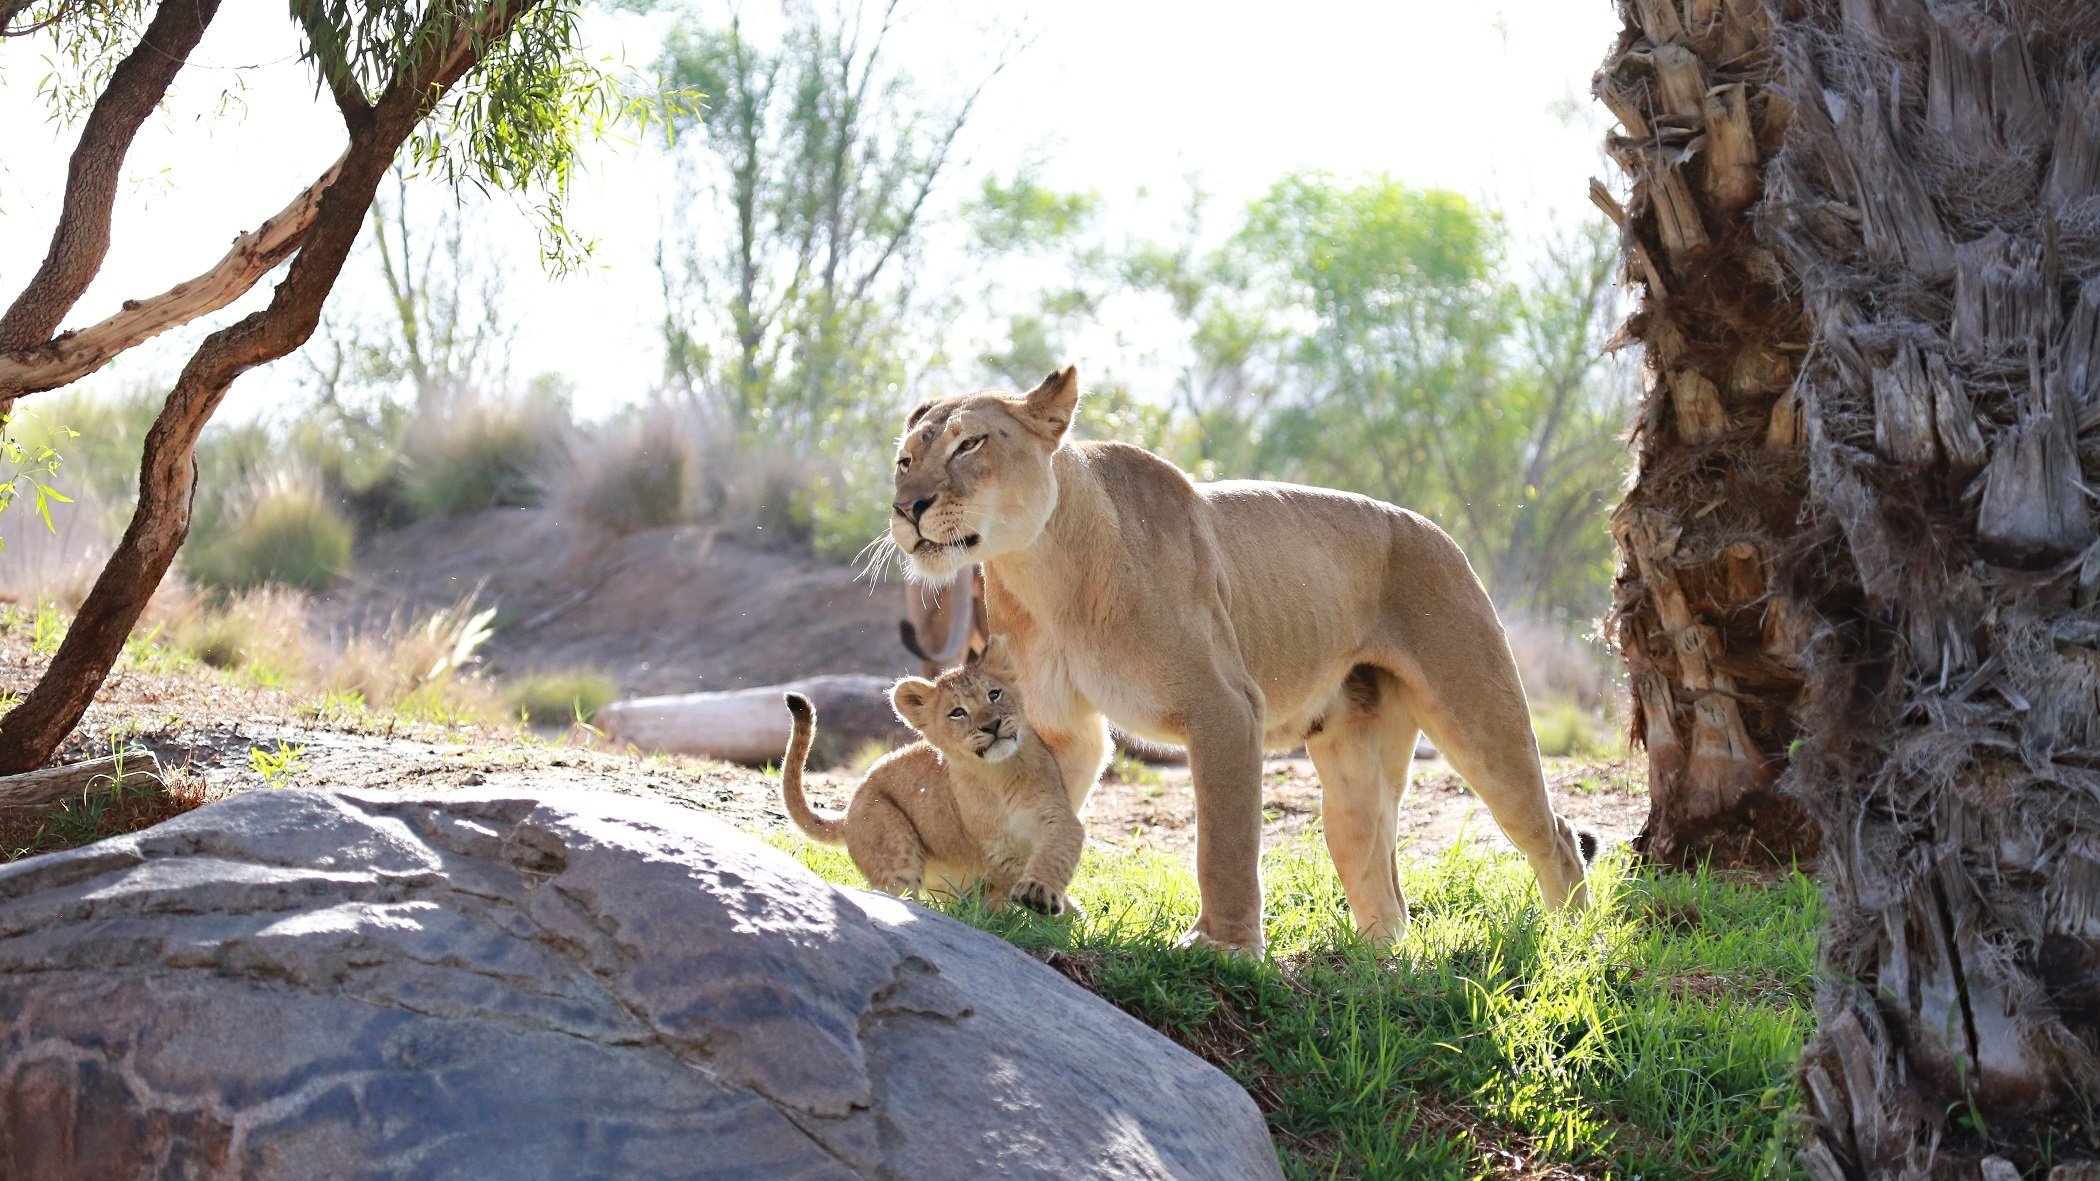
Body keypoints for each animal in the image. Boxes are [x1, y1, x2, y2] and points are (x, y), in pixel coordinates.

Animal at [777, 636, 1084, 914]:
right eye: (957, 713)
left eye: (994, 694)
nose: (992, 725)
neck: (998, 774)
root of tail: (849, 807)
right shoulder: (996, 851)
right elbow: (1014, 875)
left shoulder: (1056, 815)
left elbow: (1055, 854)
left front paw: (1044, 897)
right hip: (891, 839)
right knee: (897, 894)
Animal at [884, 366, 1593, 953]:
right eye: (905, 459)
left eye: (969, 445)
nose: (906, 507)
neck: (1039, 571)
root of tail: (1440, 531)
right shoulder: (1059, 726)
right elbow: (1050, 808)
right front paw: (1026, 901)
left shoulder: (1224, 704)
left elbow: (1223, 842)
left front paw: (1224, 948)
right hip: (1353, 758)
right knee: (1376, 870)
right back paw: (1376, 966)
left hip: (1478, 712)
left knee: (1553, 833)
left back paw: (1573, 945)